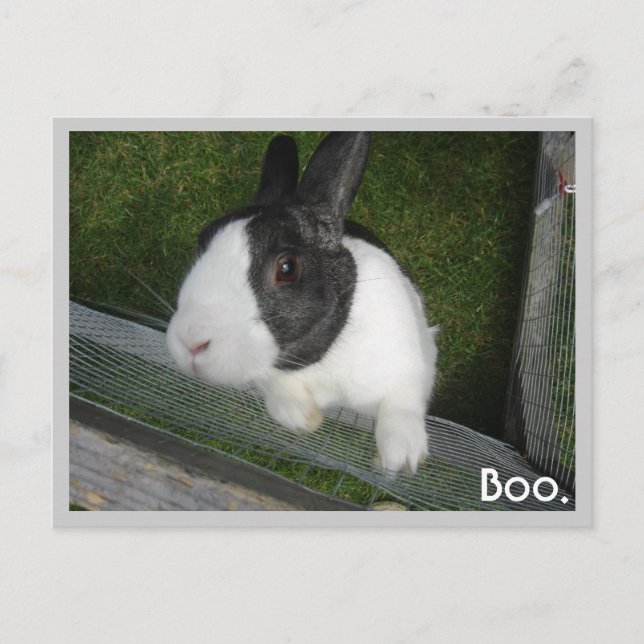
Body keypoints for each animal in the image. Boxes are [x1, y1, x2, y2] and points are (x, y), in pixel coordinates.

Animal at [166, 132, 438, 475]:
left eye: (287, 267)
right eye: (202, 240)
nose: (191, 342)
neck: (326, 359)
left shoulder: (410, 361)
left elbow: (402, 403)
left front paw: (401, 460)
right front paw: (303, 419)